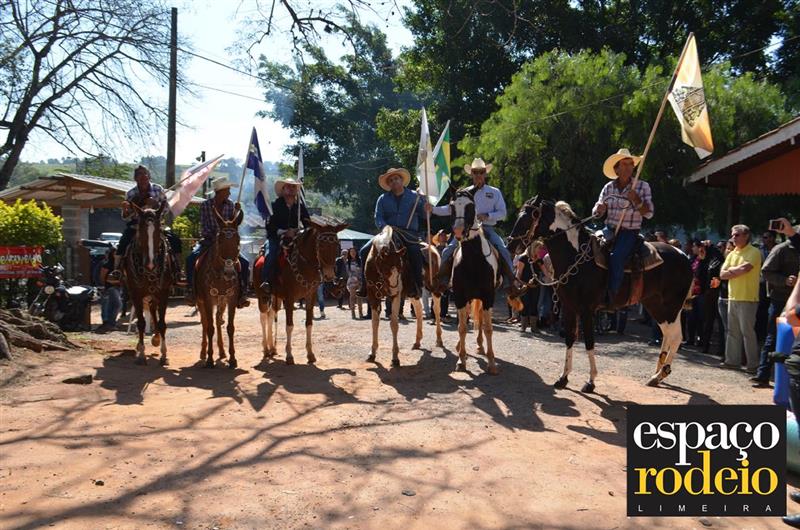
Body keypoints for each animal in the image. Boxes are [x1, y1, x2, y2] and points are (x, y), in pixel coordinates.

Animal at [122, 201, 175, 366]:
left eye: (158, 232)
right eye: (141, 232)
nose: (150, 265)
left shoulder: (163, 293)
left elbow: (162, 323)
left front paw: (164, 354)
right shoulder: (136, 294)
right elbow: (141, 323)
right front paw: (142, 355)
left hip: (154, 293)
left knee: (153, 311)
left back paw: (156, 338)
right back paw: (141, 346)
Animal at [194, 205, 244, 368]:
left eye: (238, 241)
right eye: (220, 241)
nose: (230, 273)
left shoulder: (231, 299)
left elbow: (230, 327)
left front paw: (233, 358)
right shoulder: (208, 300)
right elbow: (209, 328)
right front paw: (209, 359)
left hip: (221, 302)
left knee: (217, 320)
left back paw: (222, 352)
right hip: (201, 301)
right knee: (205, 323)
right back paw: (203, 352)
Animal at [254, 217, 348, 365]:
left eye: (337, 246)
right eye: (321, 245)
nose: (328, 275)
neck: (304, 264)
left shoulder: (310, 296)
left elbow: (309, 324)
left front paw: (310, 354)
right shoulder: (289, 298)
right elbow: (289, 325)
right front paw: (289, 355)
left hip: (275, 297)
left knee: (271, 315)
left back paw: (272, 348)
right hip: (261, 295)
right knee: (263, 317)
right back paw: (265, 349)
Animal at [363, 226, 432, 366]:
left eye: (401, 268)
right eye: (385, 269)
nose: (394, 289)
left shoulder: (396, 296)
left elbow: (394, 324)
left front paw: (395, 357)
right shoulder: (373, 295)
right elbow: (374, 323)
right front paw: (372, 353)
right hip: (412, 293)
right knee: (418, 310)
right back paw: (417, 341)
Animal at [507, 196, 692, 391]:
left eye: (527, 218)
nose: (510, 245)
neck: (577, 256)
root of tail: (682, 255)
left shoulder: (587, 310)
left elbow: (589, 342)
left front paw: (591, 381)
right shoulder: (569, 307)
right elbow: (570, 338)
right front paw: (563, 378)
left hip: (671, 306)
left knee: (676, 336)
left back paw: (661, 373)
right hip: (655, 304)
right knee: (667, 335)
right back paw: (657, 375)